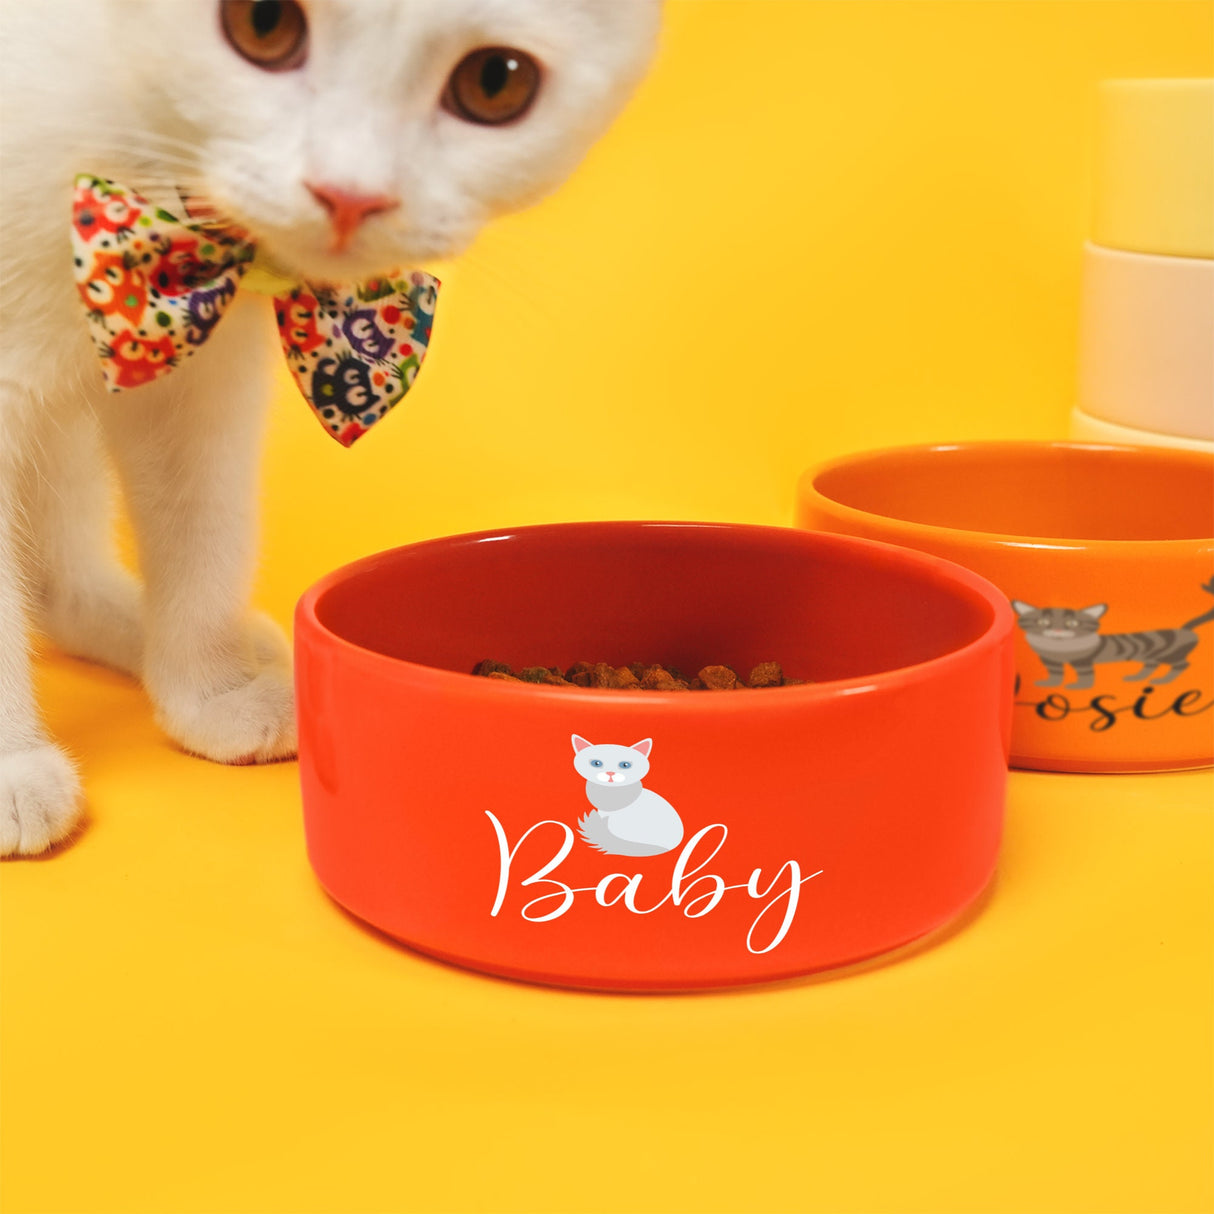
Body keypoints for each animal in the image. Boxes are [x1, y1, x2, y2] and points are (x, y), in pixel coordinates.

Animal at [0, 0, 660, 854]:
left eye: (495, 82)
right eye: (263, 25)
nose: (348, 195)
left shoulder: (196, 360)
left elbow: (204, 523)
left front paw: (212, 692)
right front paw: (11, 770)